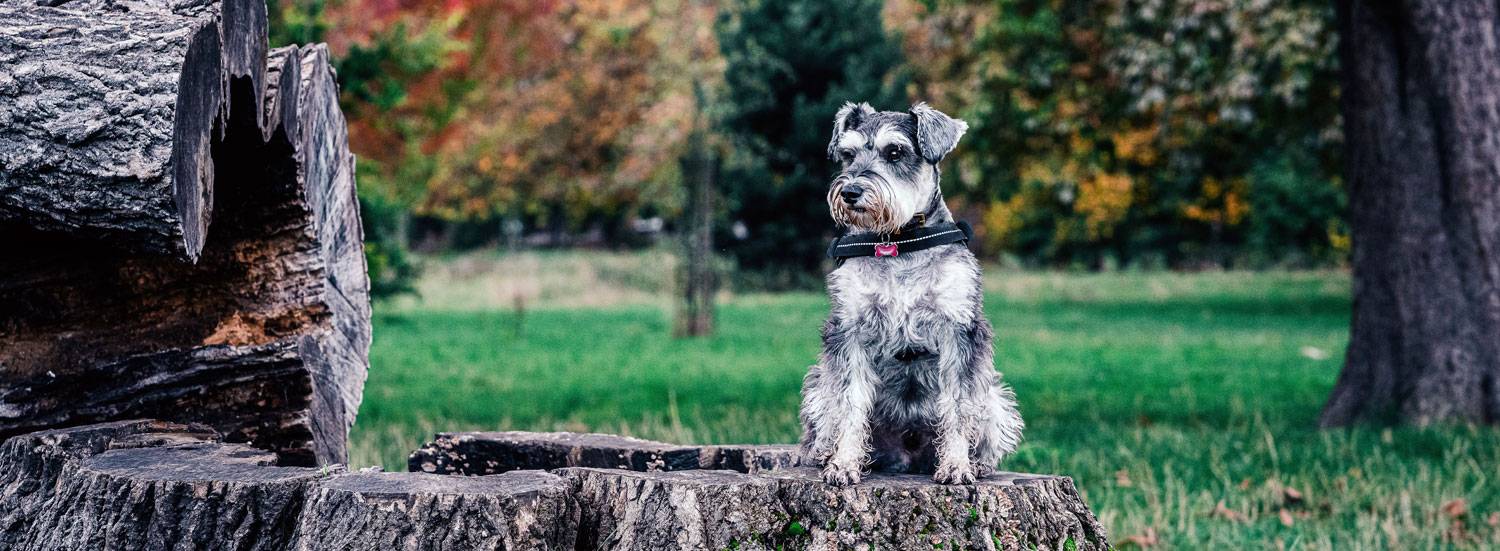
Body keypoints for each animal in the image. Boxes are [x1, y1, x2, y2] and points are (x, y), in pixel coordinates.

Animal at [804, 101, 1026, 486]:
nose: (850, 193)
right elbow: (850, 402)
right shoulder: (850, 330)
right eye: (847, 155)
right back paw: (827, 455)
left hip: (996, 397)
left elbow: (959, 405)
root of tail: (906, 458)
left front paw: (956, 465)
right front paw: (844, 464)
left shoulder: (958, 329)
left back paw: (978, 463)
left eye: (895, 152)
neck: (897, 243)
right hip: (818, 388)